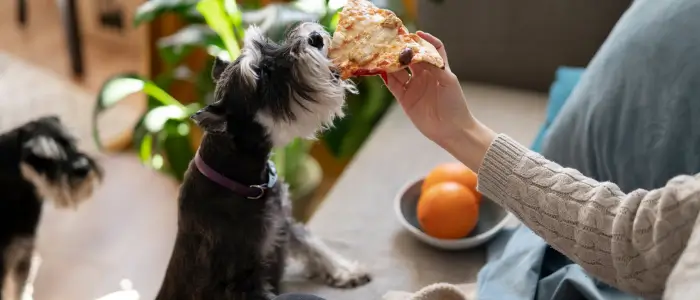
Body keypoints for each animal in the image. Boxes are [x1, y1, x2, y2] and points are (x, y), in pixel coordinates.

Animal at [154, 22, 372, 298]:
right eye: (264, 75)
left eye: (267, 44)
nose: (314, 38)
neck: (244, 182)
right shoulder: (244, 277)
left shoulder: (283, 224)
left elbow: (311, 245)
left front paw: (345, 270)